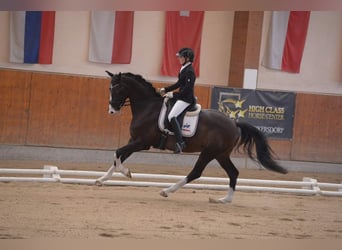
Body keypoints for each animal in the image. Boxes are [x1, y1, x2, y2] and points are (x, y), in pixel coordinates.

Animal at [95, 70, 288, 203]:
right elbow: (118, 156)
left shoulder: (142, 142)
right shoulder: (133, 140)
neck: (147, 107)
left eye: (118, 88)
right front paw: (101, 180)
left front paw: (126, 173)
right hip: (221, 154)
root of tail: (234, 123)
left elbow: (117, 153)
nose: (112, 110)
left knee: (196, 172)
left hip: (209, 152)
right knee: (233, 172)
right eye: (109, 88)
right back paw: (224, 200)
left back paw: (167, 191)